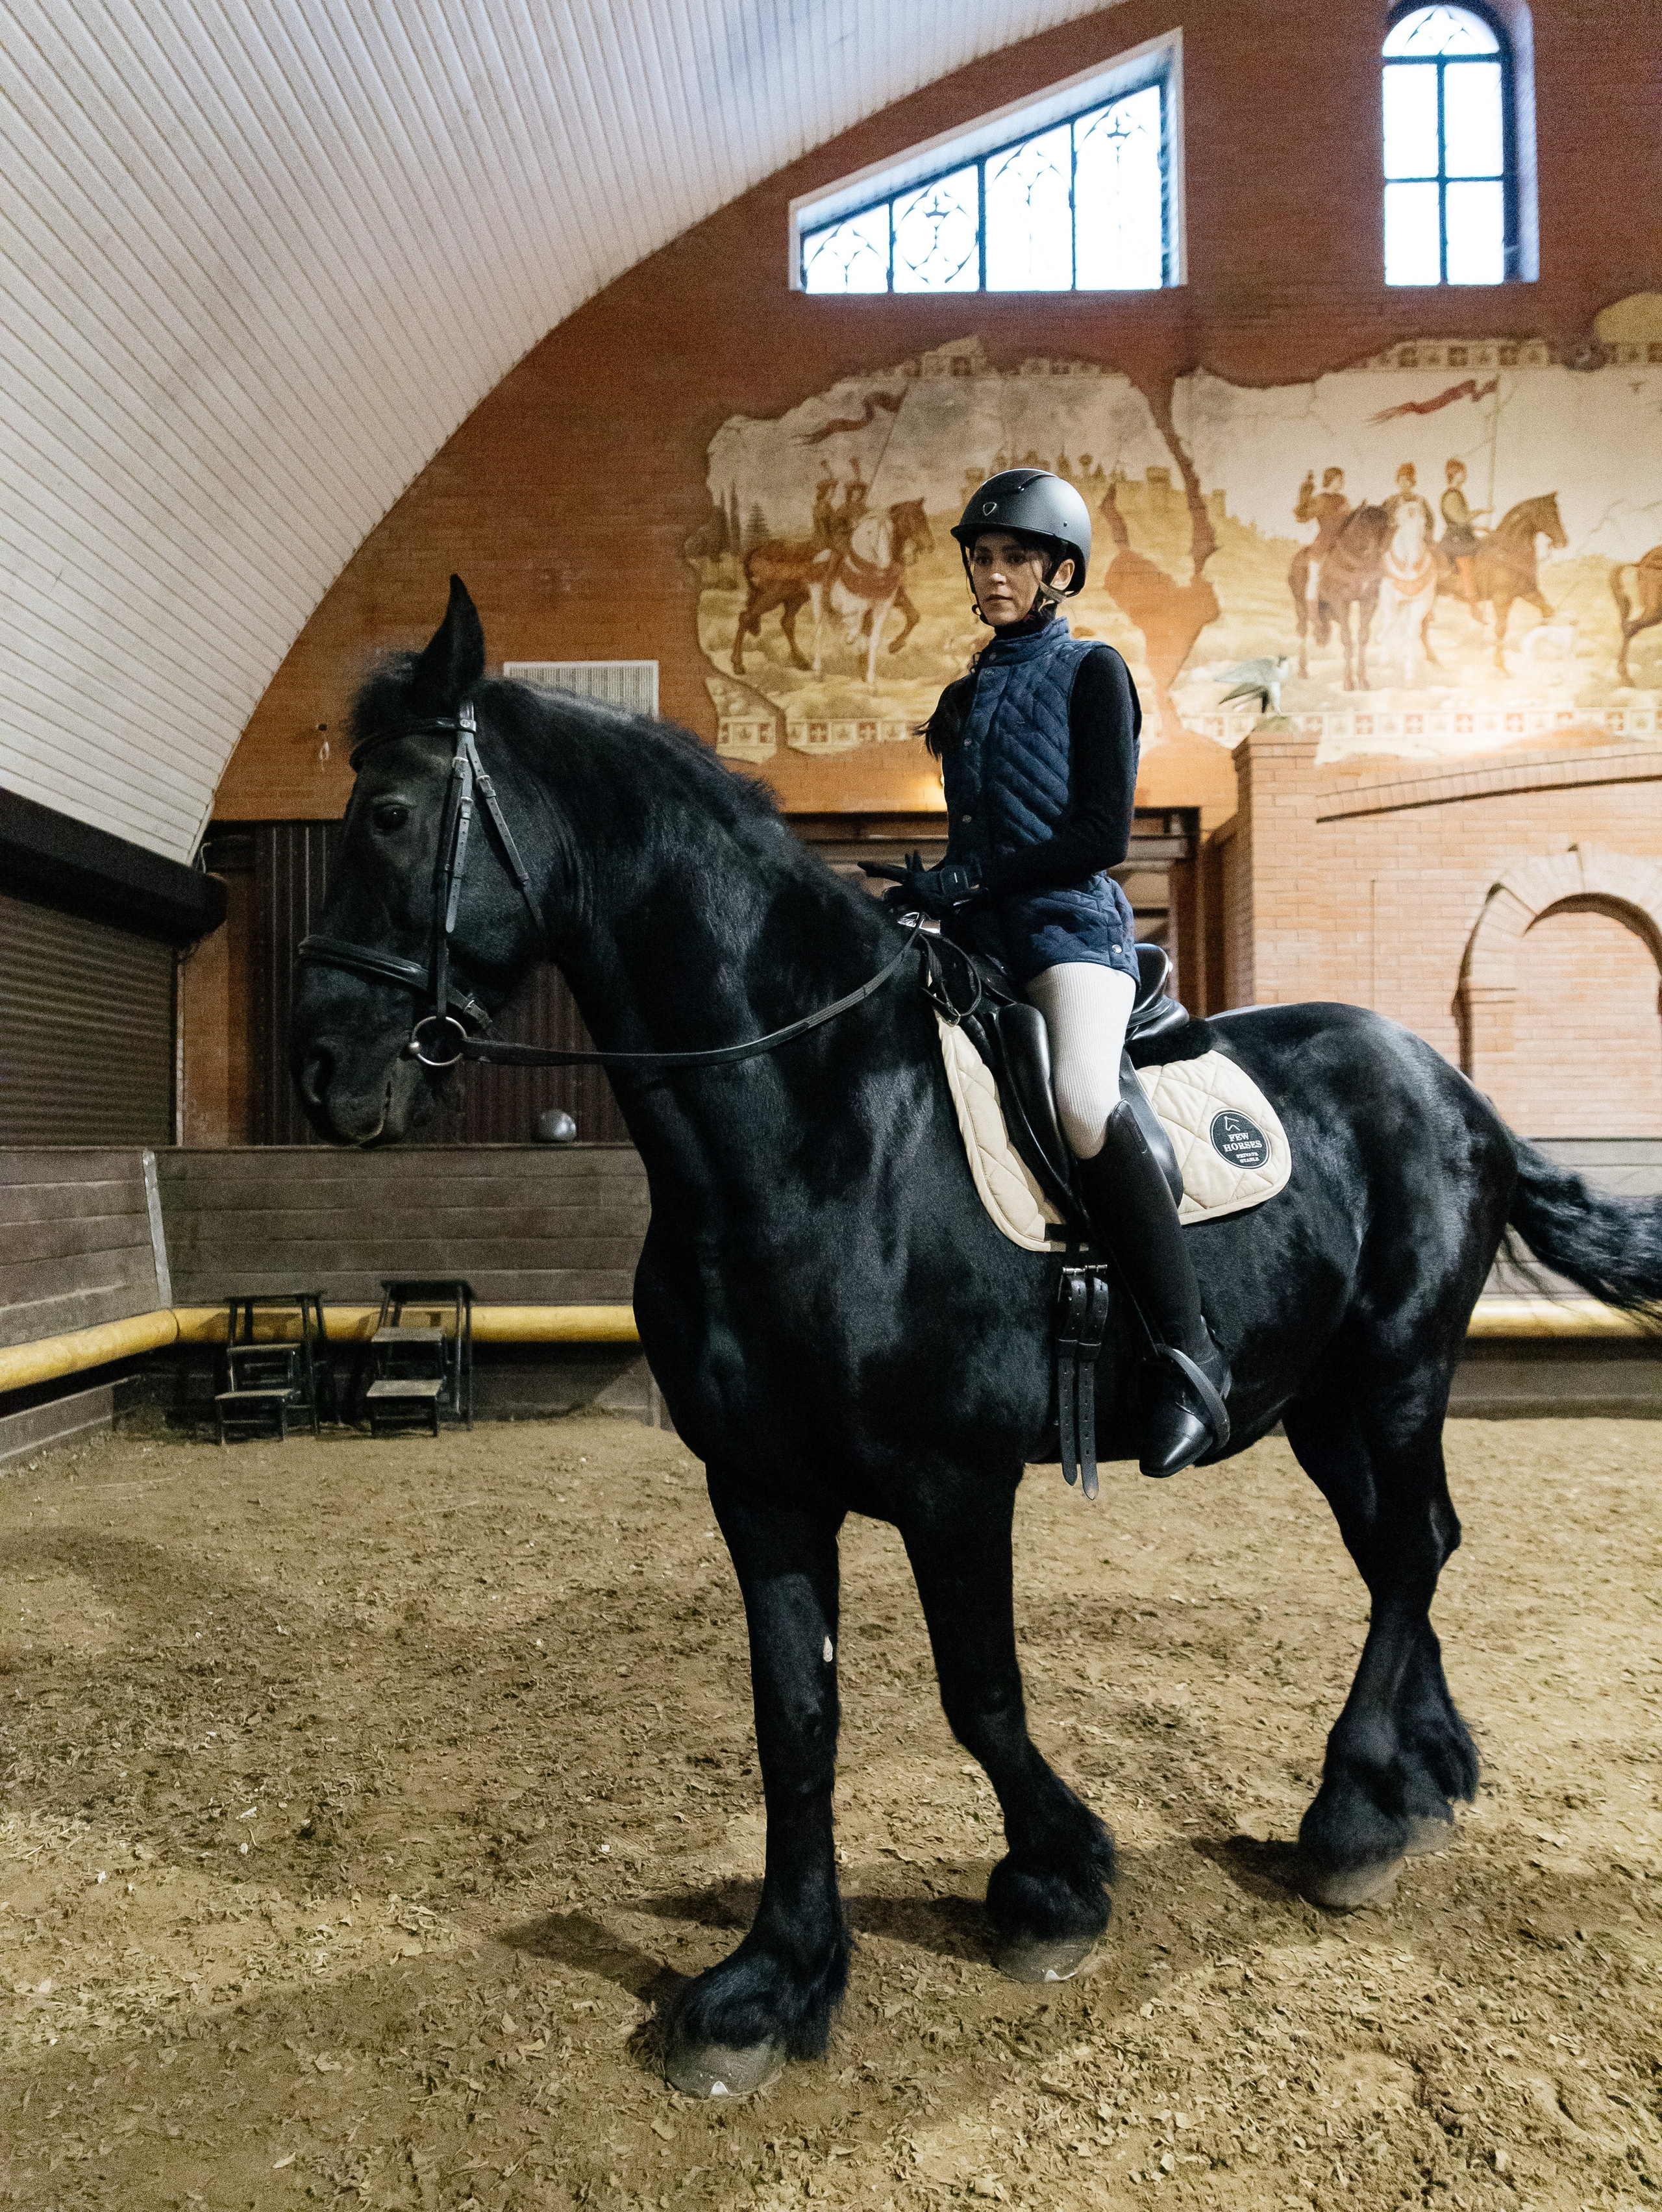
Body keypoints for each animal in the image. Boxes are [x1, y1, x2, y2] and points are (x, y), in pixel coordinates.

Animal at [294, 578, 1662, 2101]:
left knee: (1411, 1547)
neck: (814, 1120)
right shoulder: (758, 1487)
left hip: (1398, 1367)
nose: (323, 1070)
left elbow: (979, 1692)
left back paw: (1352, 1817)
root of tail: (1445, 1081)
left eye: (390, 813)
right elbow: (795, 1720)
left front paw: (1054, 1881)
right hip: (1317, 1399)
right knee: (1399, 1550)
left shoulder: (954, 1484)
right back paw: (1419, 1775)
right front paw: (771, 1978)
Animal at [1434, 493, 1569, 675]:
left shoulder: (1528, 592)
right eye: (1549, 513)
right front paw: (1501, 667)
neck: (1507, 552)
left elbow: (1548, 611)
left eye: (1557, 512)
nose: (1563, 541)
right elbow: (1501, 630)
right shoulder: (1502, 599)